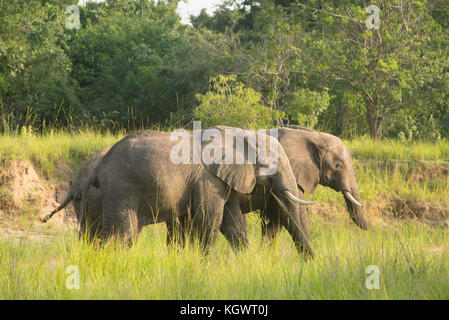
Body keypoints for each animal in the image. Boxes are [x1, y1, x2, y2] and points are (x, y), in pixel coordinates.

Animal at [79, 126, 314, 256]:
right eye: (272, 164)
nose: (310, 263)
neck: (241, 135)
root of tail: (99, 167)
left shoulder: (223, 178)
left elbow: (232, 221)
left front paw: (246, 262)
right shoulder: (208, 178)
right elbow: (210, 218)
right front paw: (204, 263)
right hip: (120, 188)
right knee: (122, 233)